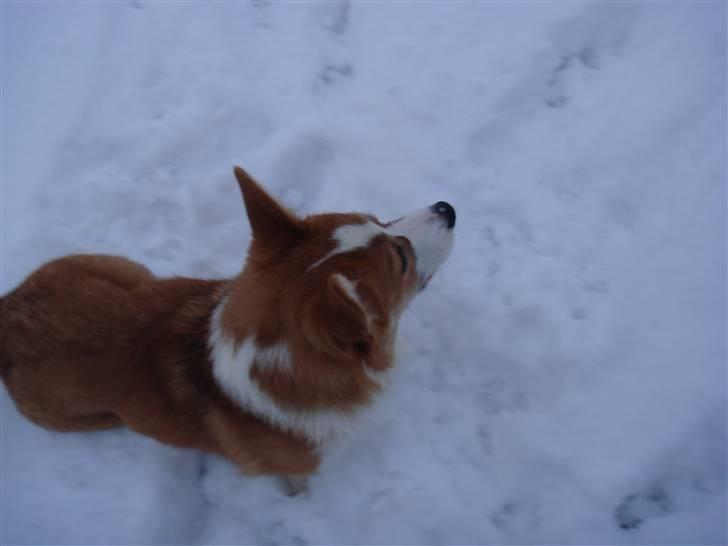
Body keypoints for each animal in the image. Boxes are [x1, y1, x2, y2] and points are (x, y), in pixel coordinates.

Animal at [1, 165, 456, 488]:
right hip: (89, 418)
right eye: (402, 258)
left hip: (129, 270)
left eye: (379, 220)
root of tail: (6, 312)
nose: (447, 208)